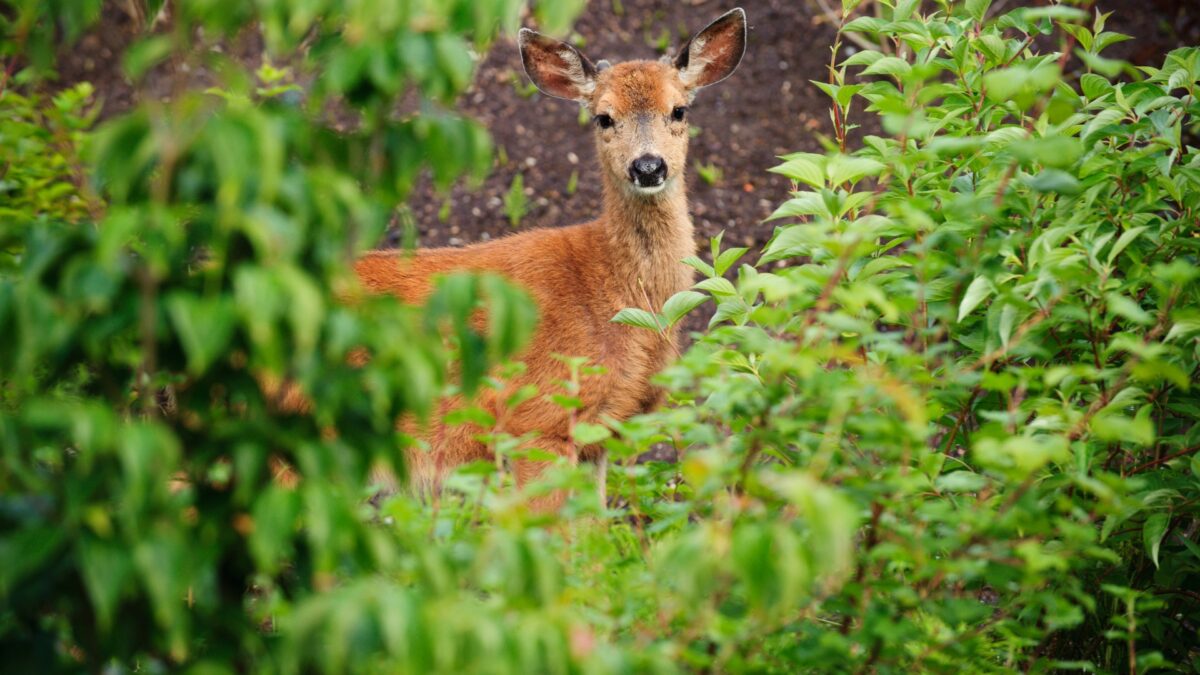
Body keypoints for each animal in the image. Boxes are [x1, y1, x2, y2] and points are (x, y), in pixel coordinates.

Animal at [350, 8, 747, 510]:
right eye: (603, 117)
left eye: (679, 110)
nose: (648, 167)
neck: (612, 290)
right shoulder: (537, 419)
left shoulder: (598, 434)